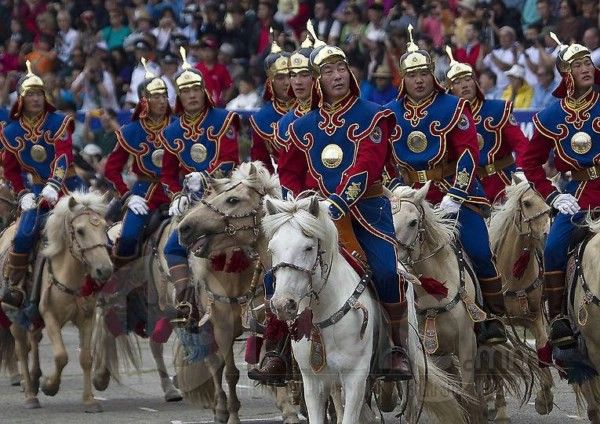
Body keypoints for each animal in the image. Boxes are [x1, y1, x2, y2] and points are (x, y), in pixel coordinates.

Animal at [0, 192, 113, 410]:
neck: (69, 274)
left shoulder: (86, 318)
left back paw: (34, 378)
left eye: (104, 227)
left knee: (33, 340)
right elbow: (61, 356)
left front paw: (89, 400)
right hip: (14, 316)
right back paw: (30, 394)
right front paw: (50, 386)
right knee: (21, 350)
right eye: (80, 231)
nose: (105, 270)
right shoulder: (50, 316)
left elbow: (86, 358)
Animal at [180, 161, 472, 424]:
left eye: (232, 199)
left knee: (408, 401)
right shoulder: (313, 379)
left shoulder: (354, 378)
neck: (324, 311)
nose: (185, 228)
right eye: (273, 248)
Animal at [390, 184, 544, 422]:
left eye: (413, 222)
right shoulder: (431, 354)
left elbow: (469, 392)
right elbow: (451, 394)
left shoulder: (466, 344)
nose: (394, 261)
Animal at [488, 176, 552, 418]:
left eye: (548, 204)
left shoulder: (535, 317)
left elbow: (543, 346)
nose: (547, 235)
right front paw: (500, 409)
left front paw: (545, 398)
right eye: (526, 203)